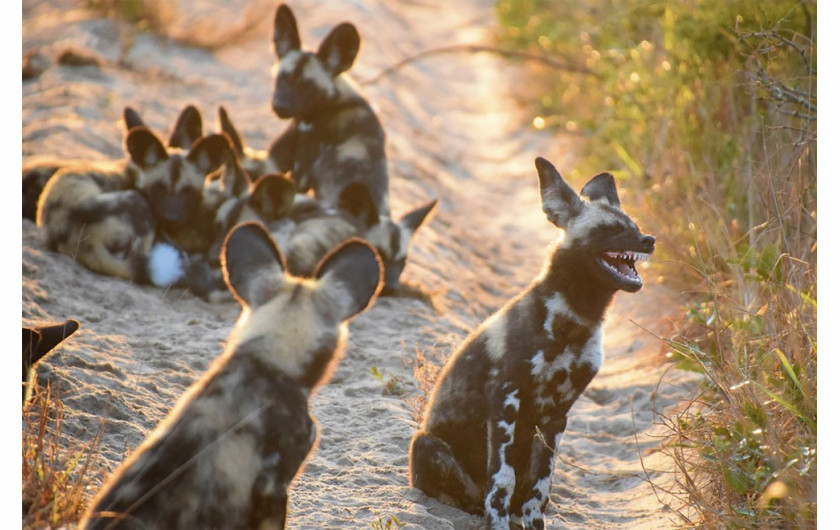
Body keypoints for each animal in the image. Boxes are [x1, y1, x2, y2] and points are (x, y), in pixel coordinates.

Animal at [406, 155, 656, 524]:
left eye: (635, 227)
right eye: (610, 230)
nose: (649, 240)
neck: (576, 319)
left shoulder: (556, 416)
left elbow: (541, 489)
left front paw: (534, 524)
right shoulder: (506, 402)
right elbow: (502, 481)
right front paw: (496, 524)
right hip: (425, 444)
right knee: (476, 495)